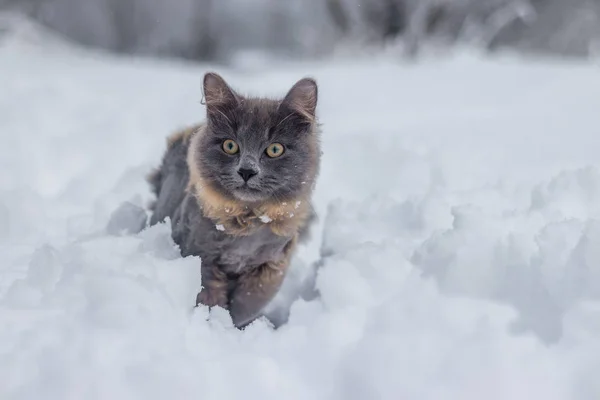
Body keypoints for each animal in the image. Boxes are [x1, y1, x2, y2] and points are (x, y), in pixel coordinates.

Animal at [146, 72, 322, 328]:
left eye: (275, 149)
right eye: (230, 146)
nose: (247, 171)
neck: (246, 222)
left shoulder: (270, 267)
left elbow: (246, 304)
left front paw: (238, 325)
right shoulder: (200, 255)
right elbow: (209, 297)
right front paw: (215, 323)